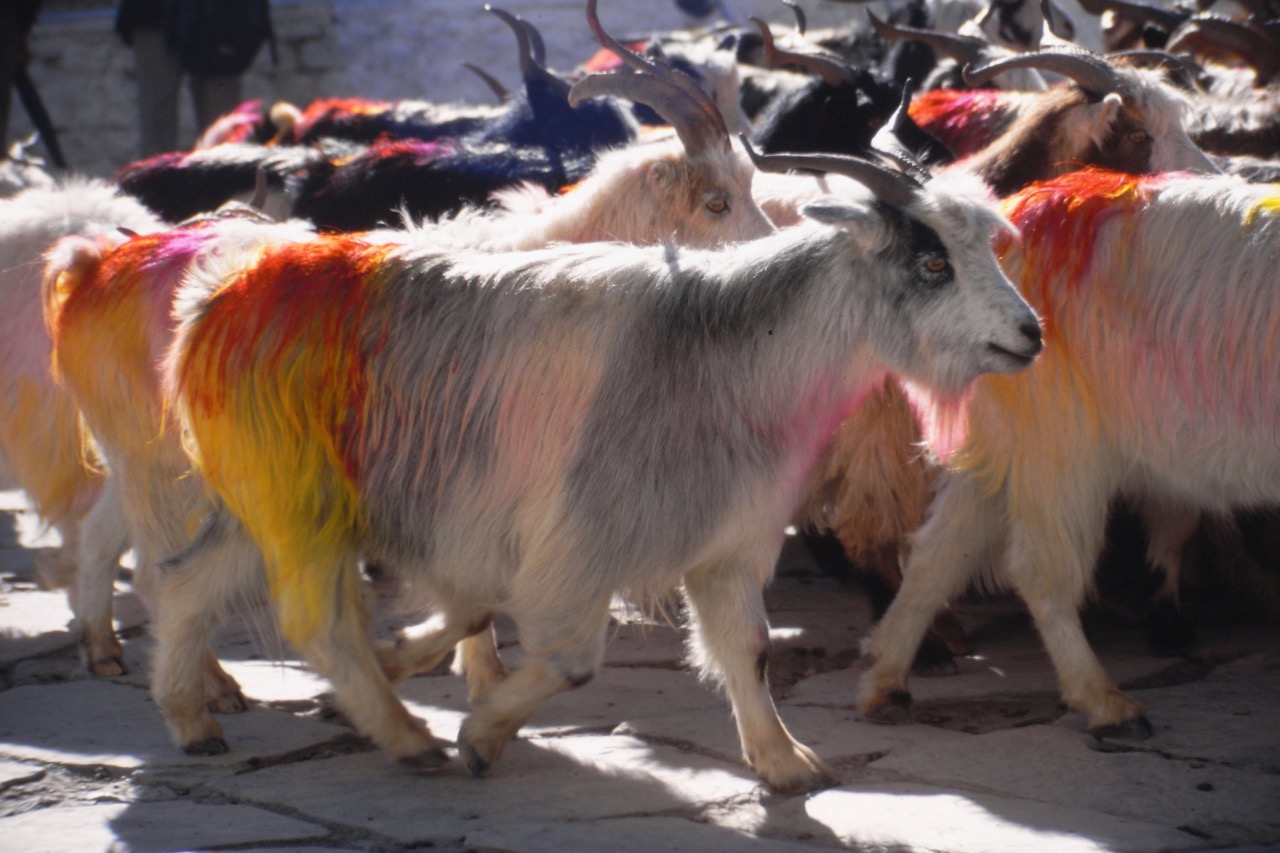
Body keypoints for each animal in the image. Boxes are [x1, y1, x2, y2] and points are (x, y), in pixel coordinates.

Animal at [157, 153, 1039, 788]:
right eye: (931, 262)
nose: (1029, 333)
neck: (726, 352)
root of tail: (215, 299)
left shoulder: (728, 540)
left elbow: (746, 648)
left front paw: (785, 763)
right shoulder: (587, 537)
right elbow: (572, 659)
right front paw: (481, 734)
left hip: (262, 498)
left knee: (189, 579)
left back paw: (194, 718)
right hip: (297, 499)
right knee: (316, 619)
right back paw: (408, 737)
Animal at [860, 167, 1280, 737]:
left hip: (1010, 447)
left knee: (937, 553)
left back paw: (885, 680)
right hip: (1061, 445)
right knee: (1037, 571)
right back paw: (1105, 704)